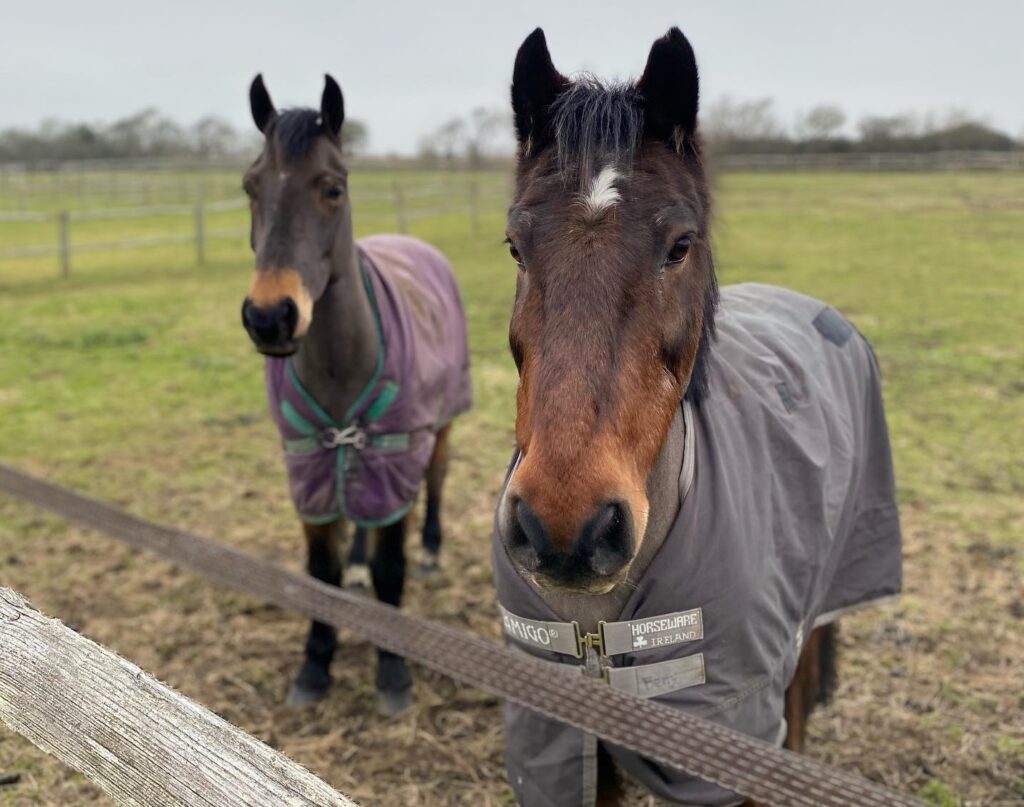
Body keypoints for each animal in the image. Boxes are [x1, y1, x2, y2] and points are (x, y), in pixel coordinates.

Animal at [239, 74, 471, 712]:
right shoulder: (310, 467)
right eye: (250, 185)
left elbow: (393, 568)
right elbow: (323, 571)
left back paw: (432, 552)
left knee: (436, 483)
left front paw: (392, 672)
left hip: (437, 429)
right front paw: (315, 666)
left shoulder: (396, 453)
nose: (270, 317)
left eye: (332, 188)